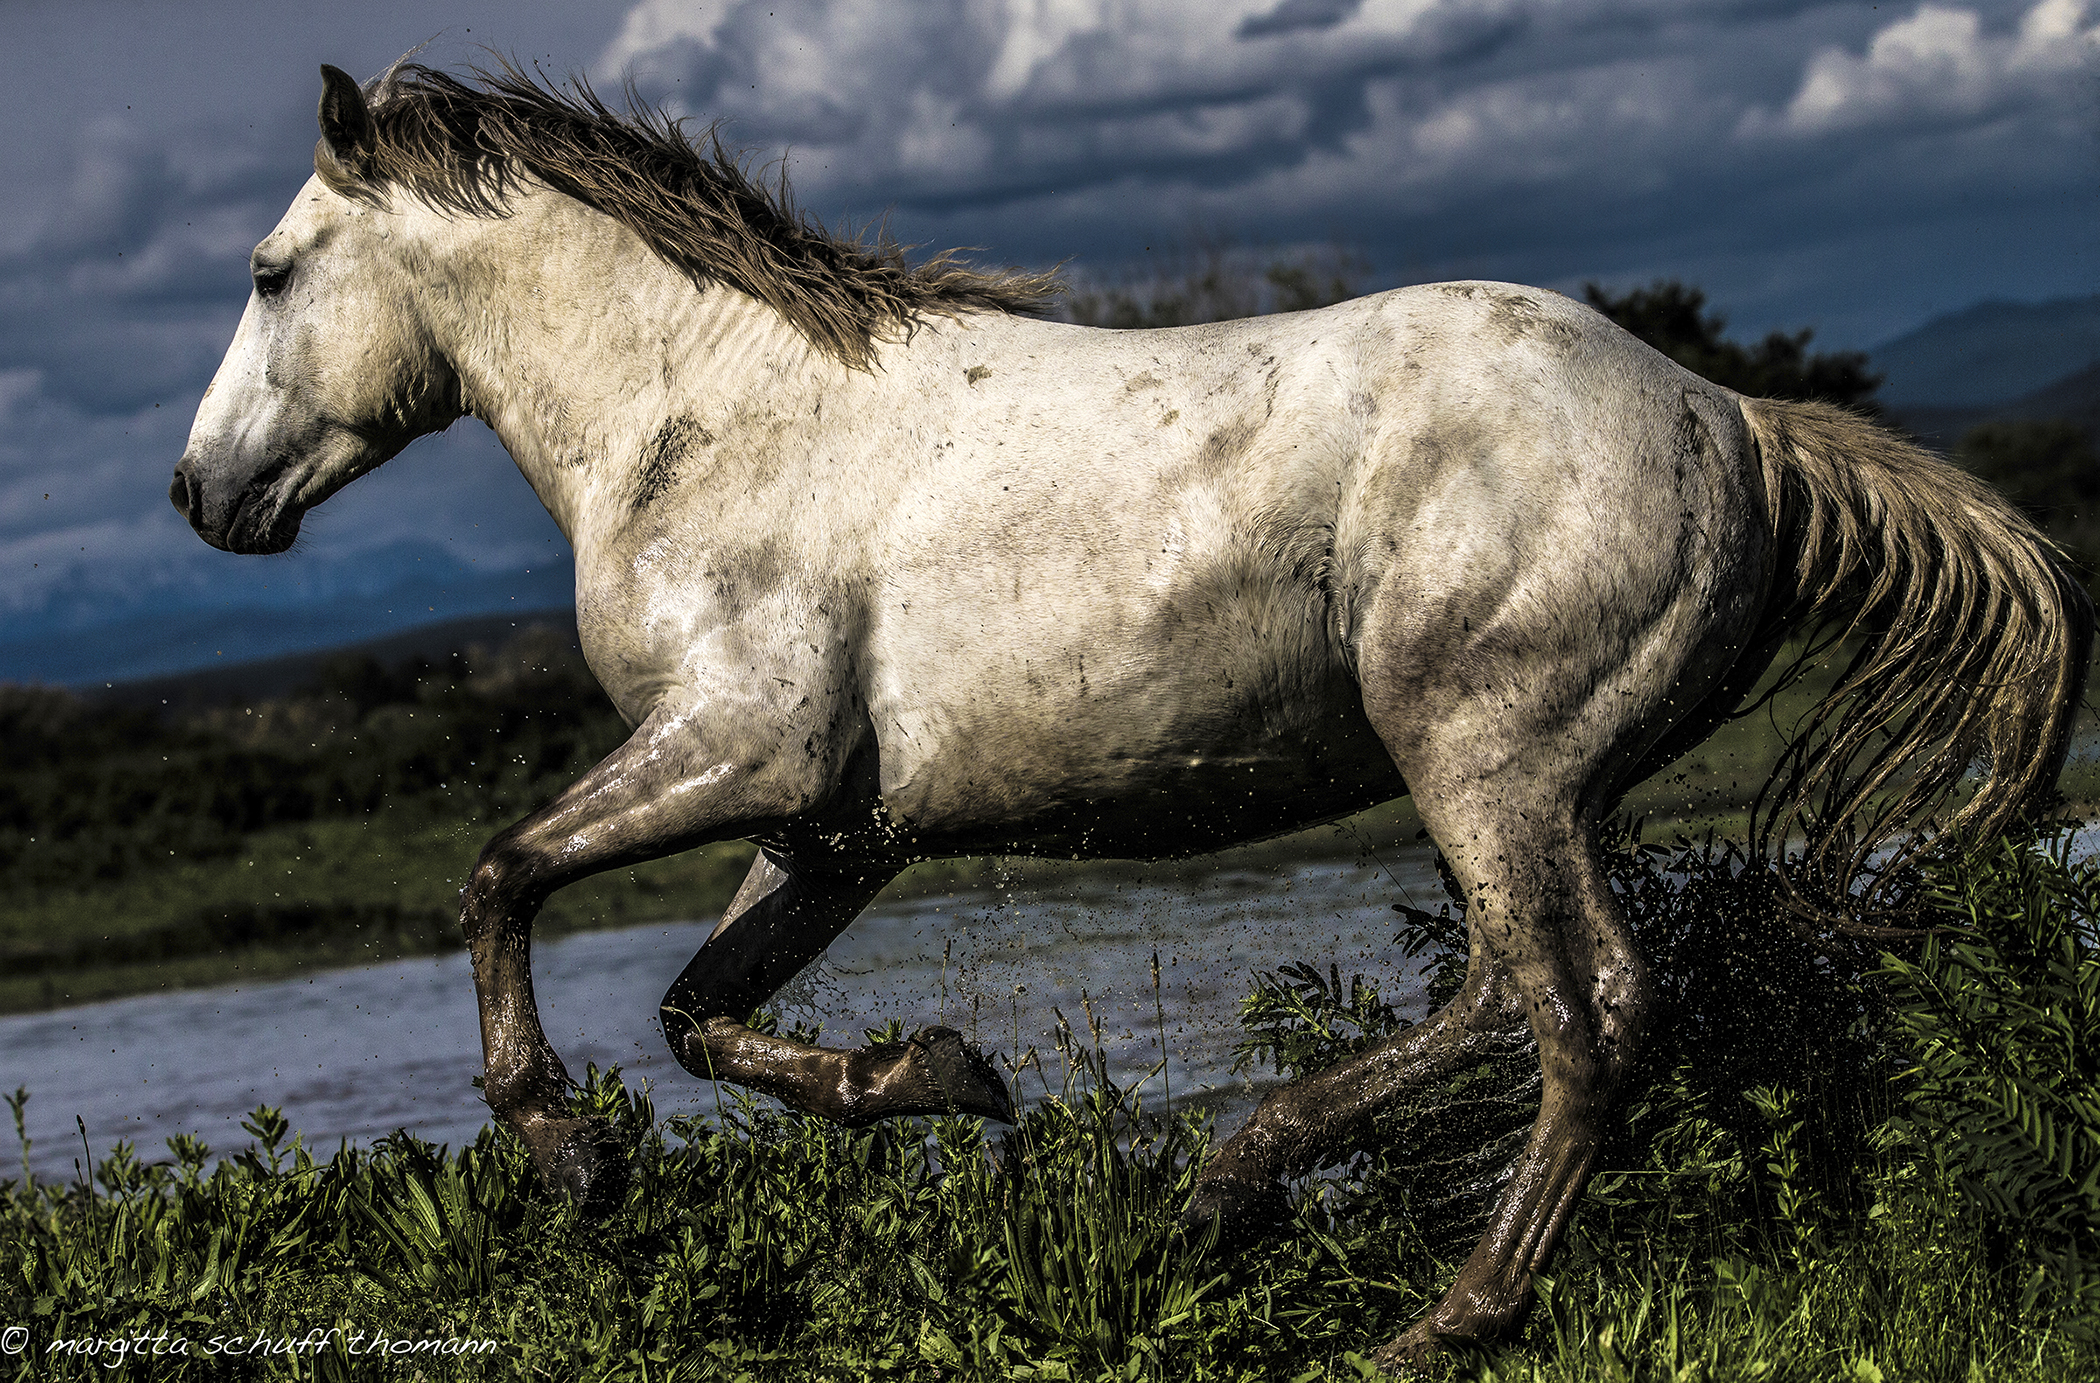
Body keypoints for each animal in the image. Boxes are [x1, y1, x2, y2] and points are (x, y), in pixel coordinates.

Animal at [170, 63, 2091, 1366]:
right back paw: (1233, 1183)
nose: (200, 497)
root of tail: (1732, 421)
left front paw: (568, 1155)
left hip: (1486, 753)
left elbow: (500, 876)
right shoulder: (834, 824)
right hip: (1527, 776)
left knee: (1586, 1008)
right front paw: (946, 1075)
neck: (705, 418)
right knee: (1502, 986)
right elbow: (698, 1012)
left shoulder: (741, 747)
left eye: (268, 271)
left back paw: (1439, 1313)